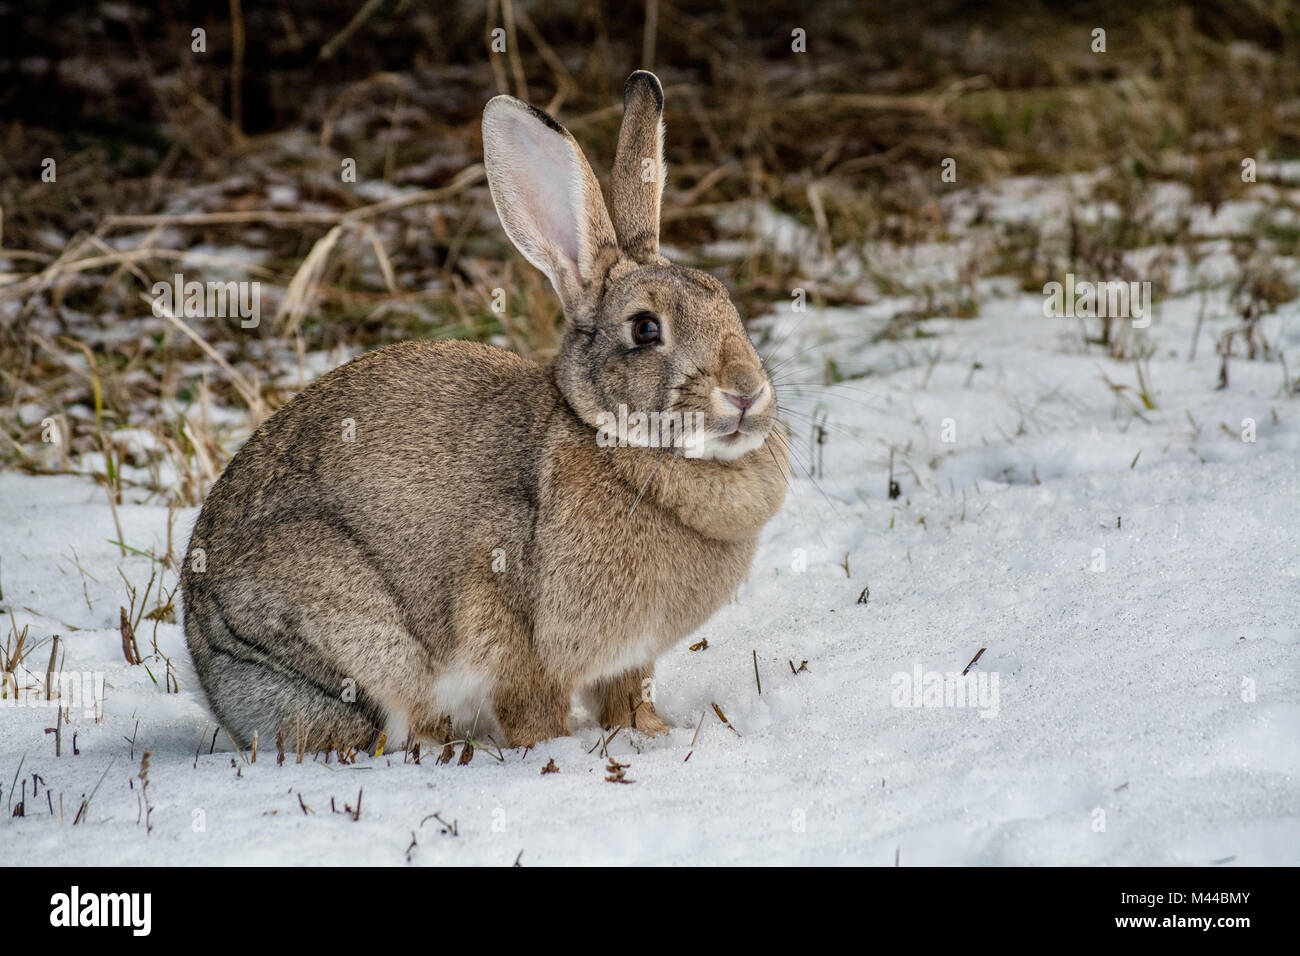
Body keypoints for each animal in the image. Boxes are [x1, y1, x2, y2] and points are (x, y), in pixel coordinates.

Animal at [181, 71, 789, 753]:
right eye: (645, 329)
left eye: (726, 301)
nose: (746, 392)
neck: (613, 440)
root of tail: (212, 673)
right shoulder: (512, 623)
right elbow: (530, 702)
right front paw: (552, 749)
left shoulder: (629, 660)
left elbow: (627, 698)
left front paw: (651, 734)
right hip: (342, 625)